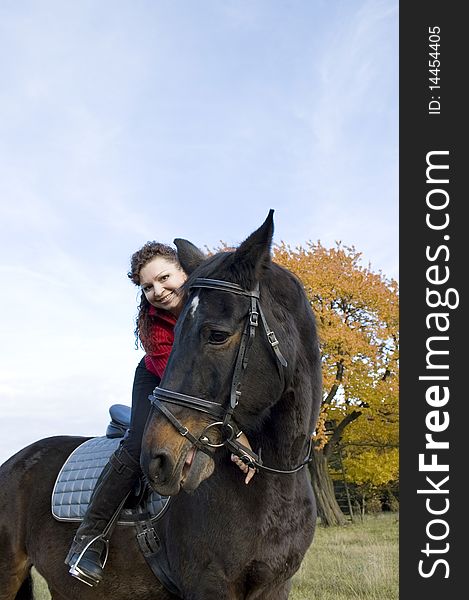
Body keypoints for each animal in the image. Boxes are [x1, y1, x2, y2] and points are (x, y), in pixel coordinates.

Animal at [0, 212, 322, 600]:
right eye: (176, 330)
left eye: (217, 335)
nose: (158, 460)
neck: (275, 482)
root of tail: (14, 462)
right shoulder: (209, 586)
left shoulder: (275, 586)